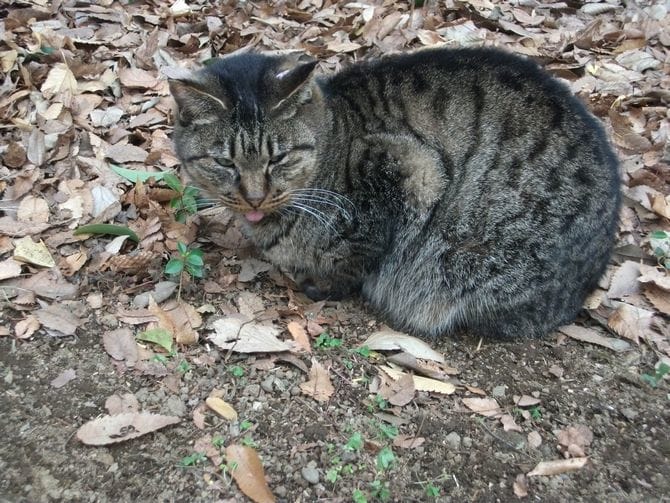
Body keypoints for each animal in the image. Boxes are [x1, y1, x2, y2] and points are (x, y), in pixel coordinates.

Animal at [171, 48, 624, 338]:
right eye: (225, 163)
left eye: (278, 158)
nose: (253, 197)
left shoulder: (411, 168)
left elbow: (360, 253)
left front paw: (325, 282)